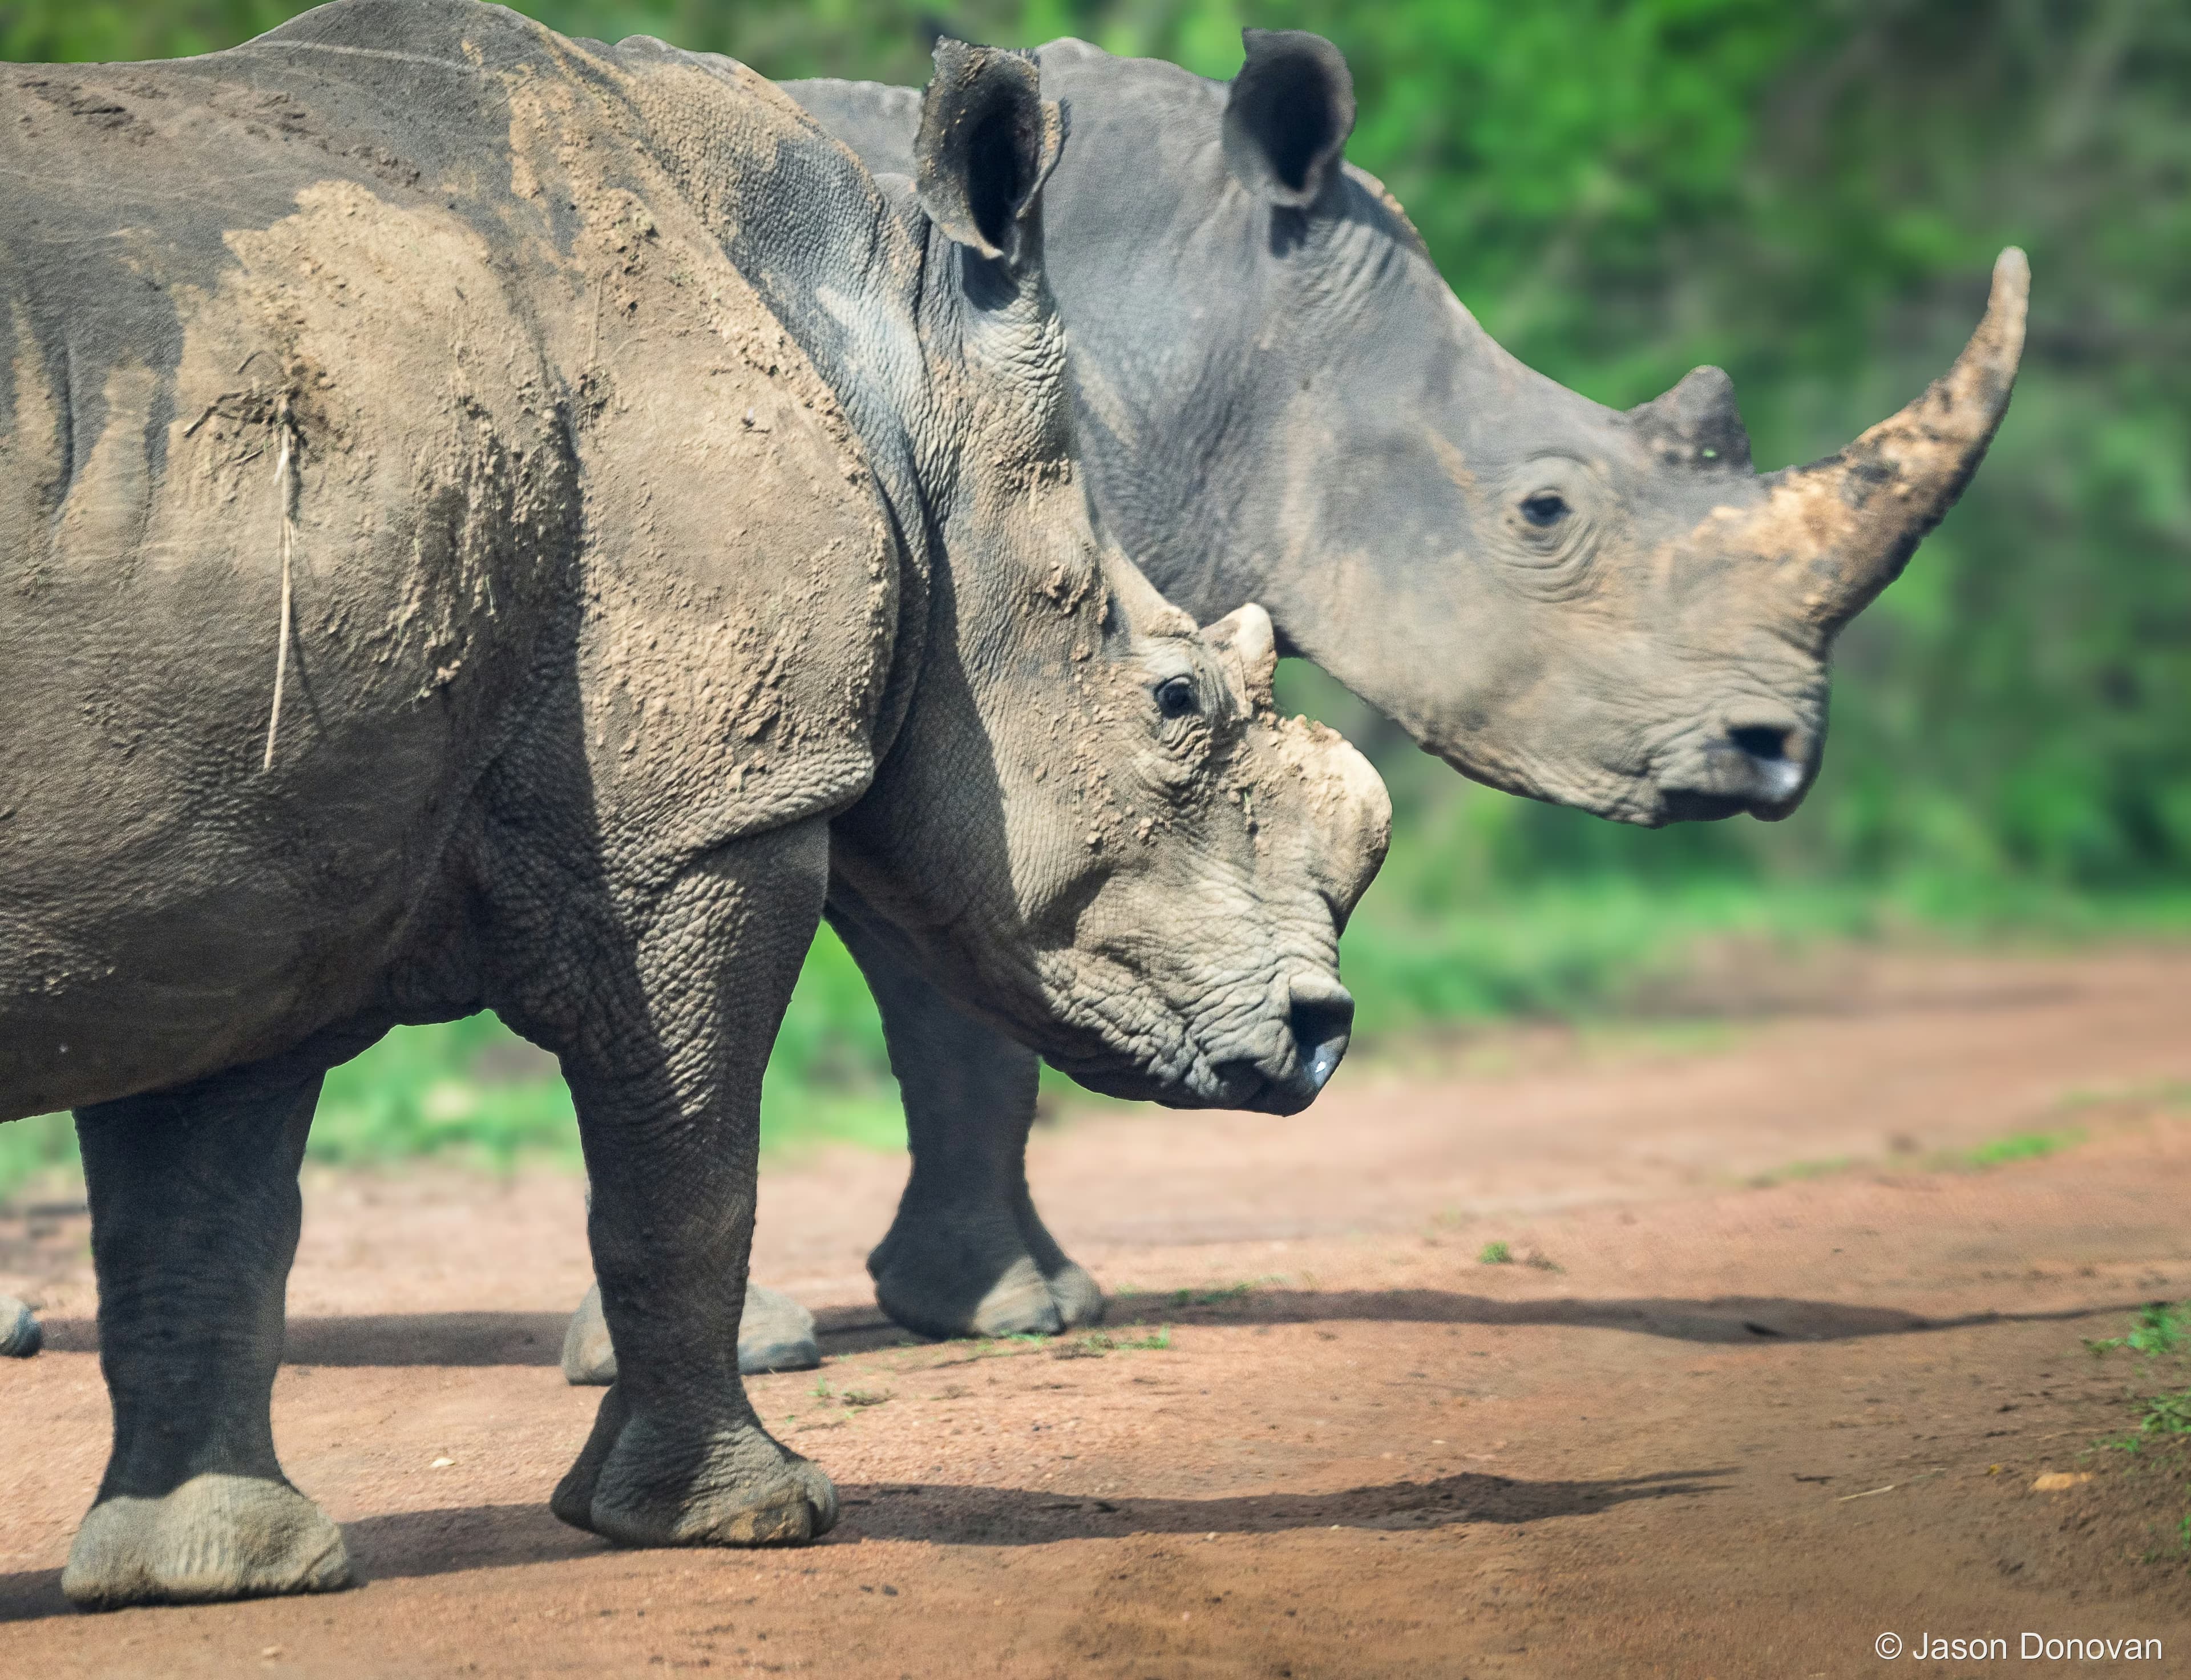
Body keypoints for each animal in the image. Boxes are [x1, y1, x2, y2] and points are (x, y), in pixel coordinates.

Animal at [0, 2, 1388, 1608]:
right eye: (1175, 702)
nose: (1321, 1031)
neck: (891, 368)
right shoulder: (700, 821)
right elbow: (689, 1176)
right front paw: (746, 1515)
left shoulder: (241, 830)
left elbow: (199, 1197)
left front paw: (216, 1572)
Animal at [614, 29, 2018, 1359]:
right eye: (1546, 509)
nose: (1778, 747)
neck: (1208, 334)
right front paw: (948, 1315)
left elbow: (970, 974)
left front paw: (1020, 1303)